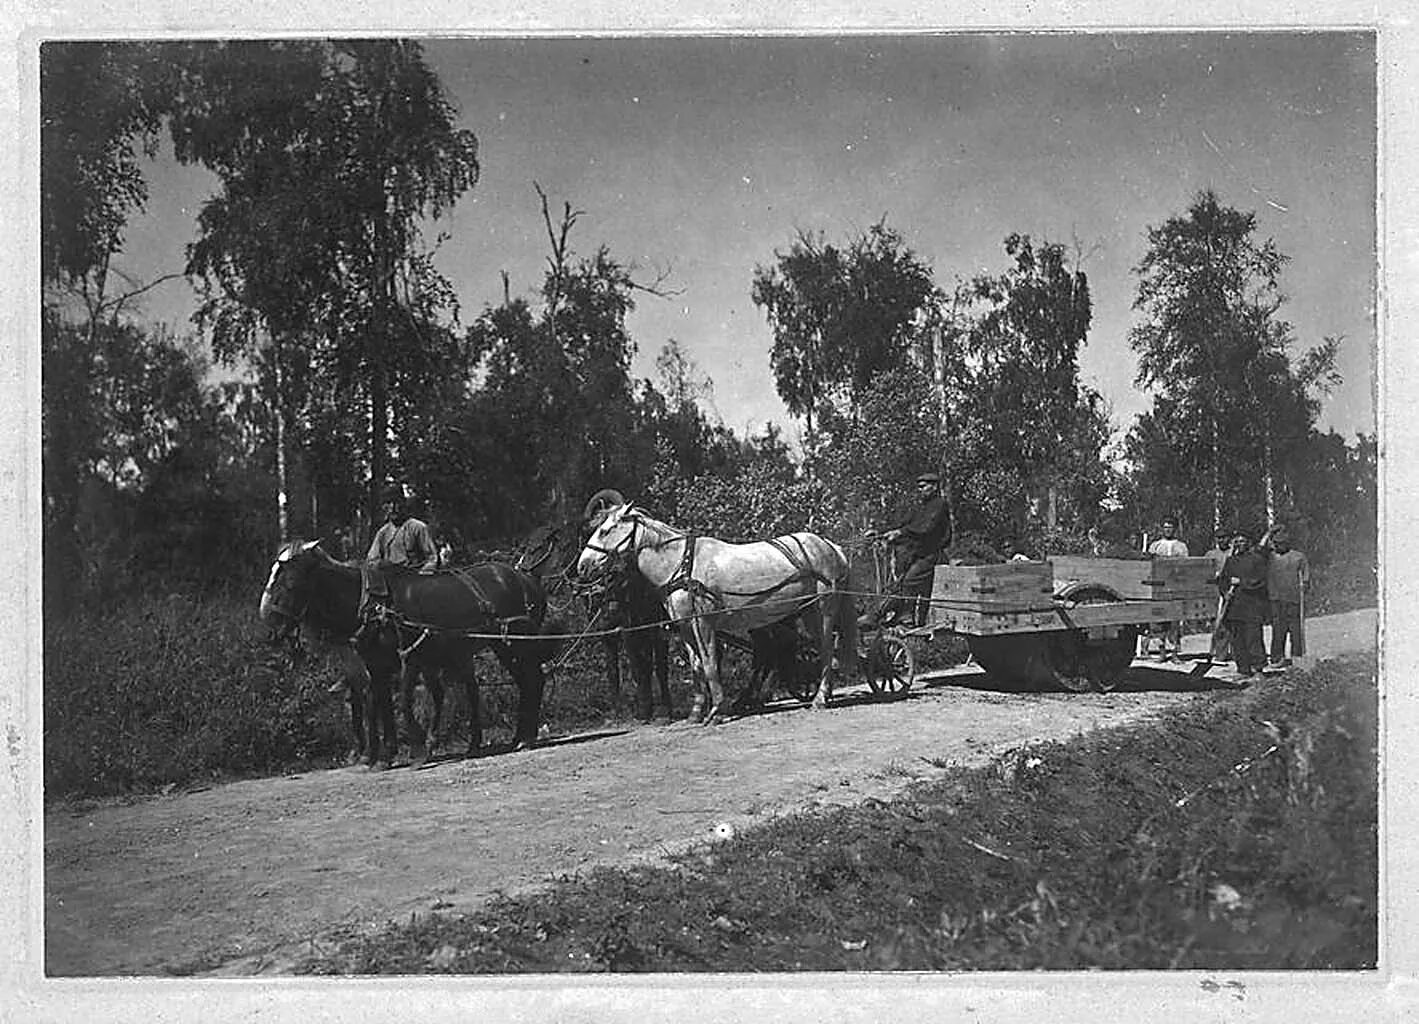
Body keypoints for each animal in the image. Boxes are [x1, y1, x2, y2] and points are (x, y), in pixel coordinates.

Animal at [261, 538, 559, 760]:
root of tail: (525, 577)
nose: (270, 628)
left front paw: (414, 749)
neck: (374, 604)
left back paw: (526, 738)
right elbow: (379, 701)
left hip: (517, 641)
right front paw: (383, 755)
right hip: (502, 644)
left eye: (289, 583)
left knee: (533, 679)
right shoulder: (377, 664)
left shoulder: (410, 656)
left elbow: (403, 700)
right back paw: (516, 737)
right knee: (523, 682)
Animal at [570, 502, 857, 717]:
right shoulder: (685, 628)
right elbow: (696, 667)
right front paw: (697, 712)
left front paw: (718, 709)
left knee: (825, 649)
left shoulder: (703, 623)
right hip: (806, 612)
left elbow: (709, 664)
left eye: (605, 530)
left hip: (823, 608)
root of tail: (832, 547)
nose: (582, 566)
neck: (682, 564)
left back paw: (819, 698)